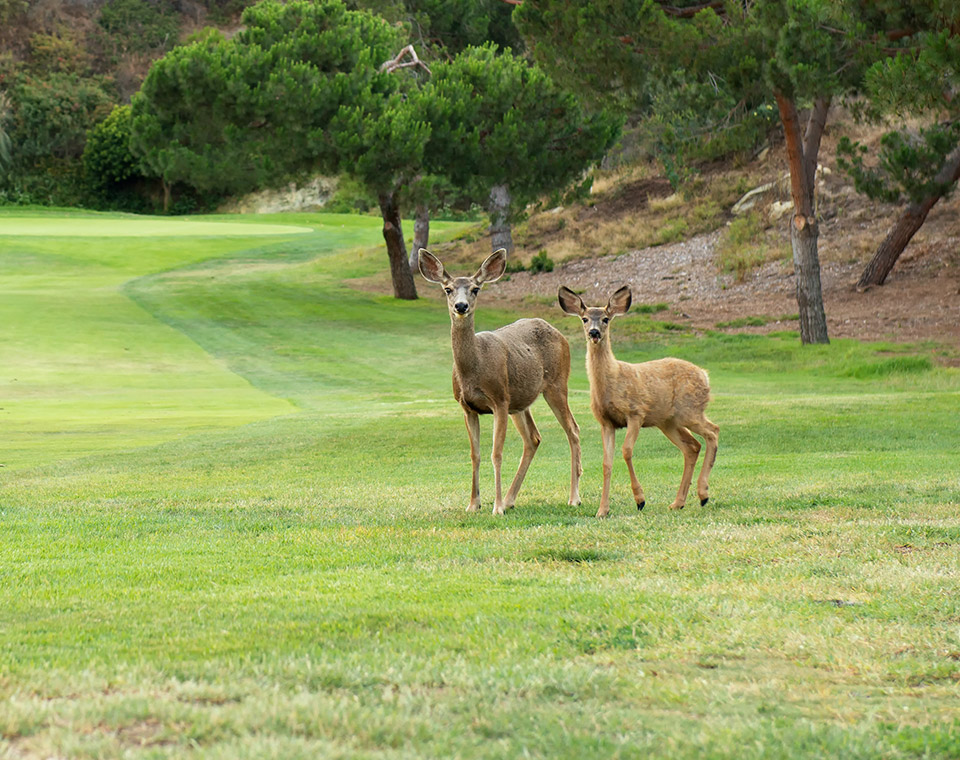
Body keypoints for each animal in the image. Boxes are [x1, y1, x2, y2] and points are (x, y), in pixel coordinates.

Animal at [422, 249, 584, 516]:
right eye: (447, 289)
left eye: (476, 289)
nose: (461, 306)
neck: (474, 368)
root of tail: (559, 333)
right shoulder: (467, 407)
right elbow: (475, 454)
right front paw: (473, 504)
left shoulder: (498, 400)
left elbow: (496, 453)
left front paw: (496, 508)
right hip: (518, 402)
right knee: (533, 438)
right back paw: (510, 499)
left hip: (556, 384)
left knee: (573, 429)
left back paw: (573, 498)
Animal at [556, 282, 720, 520]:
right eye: (584, 319)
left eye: (606, 318)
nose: (594, 332)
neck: (612, 380)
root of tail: (705, 375)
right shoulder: (606, 422)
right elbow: (606, 463)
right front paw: (602, 510)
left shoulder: (636, 413)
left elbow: (626, 451)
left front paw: (640, 500)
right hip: (668, 421)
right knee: (692, 446)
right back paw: (678, 502)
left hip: (690, 411)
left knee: (713, 431)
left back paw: (703, 493)